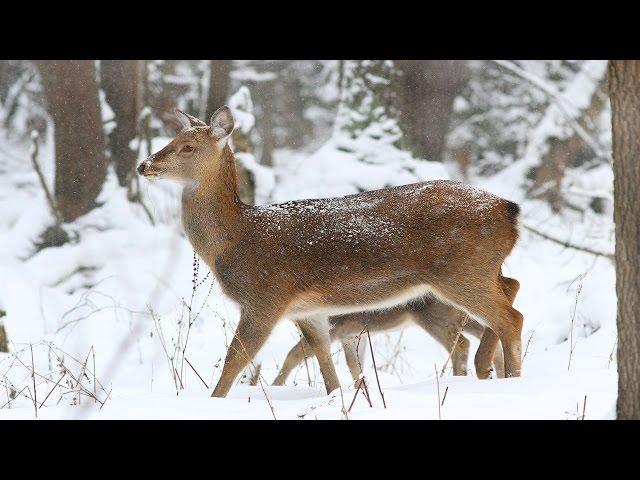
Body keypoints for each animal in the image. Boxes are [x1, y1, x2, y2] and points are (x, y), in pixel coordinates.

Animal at [138, 107, 524, 396]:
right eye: (170, 140)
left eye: (187, 146)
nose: (145, 165)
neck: (236, 238)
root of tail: (508, 209)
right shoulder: (309, 311)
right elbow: (325, 366)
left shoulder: (265, 296)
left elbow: (235, 360)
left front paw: (214, 402)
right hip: (479, 269)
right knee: (511, 290)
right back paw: (492, 369)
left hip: (461, 270)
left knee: (510, 317)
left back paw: (508, 378)